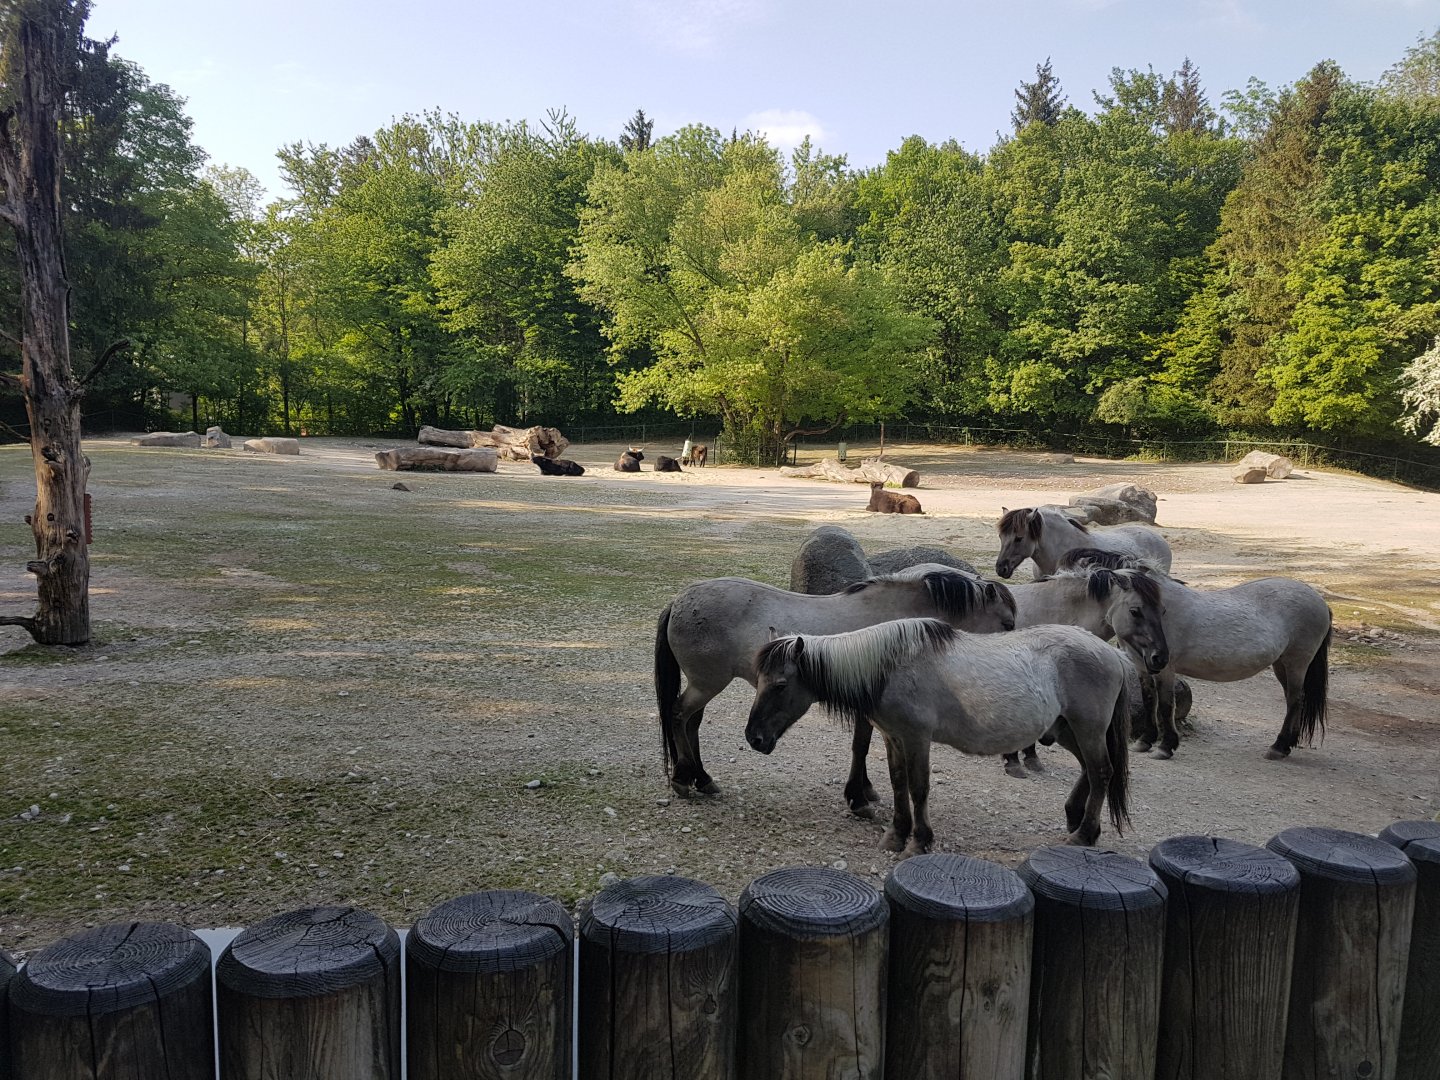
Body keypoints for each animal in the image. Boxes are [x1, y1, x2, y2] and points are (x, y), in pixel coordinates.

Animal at [655, 565, 1018, 798]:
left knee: (690, 722)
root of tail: (679, 600)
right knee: (678, 715)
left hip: (705, 684)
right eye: (1007, 623)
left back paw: (702, 778)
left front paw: (863, 792)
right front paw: (858, 797)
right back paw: (685, 779)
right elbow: (861, 746)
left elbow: (861, 745)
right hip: (707, 683)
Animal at [746, 618, 1132, 854]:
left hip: (1087, 728)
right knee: (1089, 769)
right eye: (760, 681)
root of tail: (1111, 652)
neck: (889, 666)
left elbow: (918, 788)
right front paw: (896, 834)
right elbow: (898, 783)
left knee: (1101, 772)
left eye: (780, 685)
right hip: (1069, 729)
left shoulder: (916, 738)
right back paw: (1074, 815)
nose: (754, 738)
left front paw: (919, 841)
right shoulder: (893, 738)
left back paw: (1084, 833)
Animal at [843, 561, 1168, 808]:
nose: (1160, 657)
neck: (1055, 610)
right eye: (1136, 610)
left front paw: (1030, 758)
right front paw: (1014, 760)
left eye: (1163, 611)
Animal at [1058, 548, 1332, 760]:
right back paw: (1288, 744)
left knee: (1295, 700)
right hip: (1281, 665)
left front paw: (1165, 746)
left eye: (1162, 611)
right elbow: (1149, 700)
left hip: (1297, 662)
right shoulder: (1143, 665)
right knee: (1294, 700)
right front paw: (1145, 741)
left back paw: (1278, 747)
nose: (1160, 655)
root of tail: (1319, 600)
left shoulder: (1165, 669)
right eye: (1136, 611)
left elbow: (1166, 705)